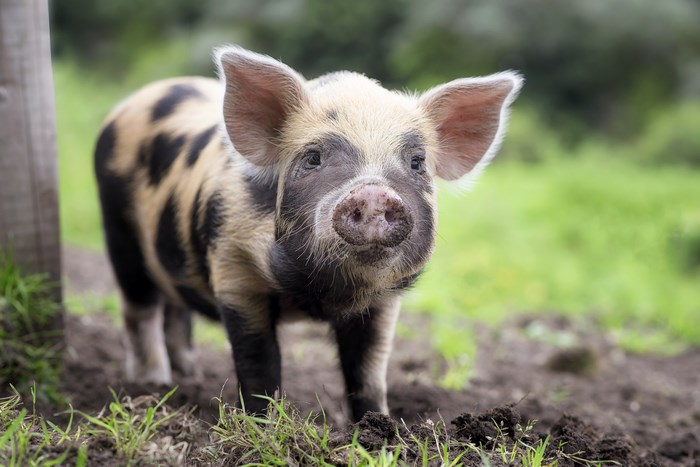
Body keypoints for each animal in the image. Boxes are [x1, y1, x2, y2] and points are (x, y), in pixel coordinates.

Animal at [94, 45, 522, 421]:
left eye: (417, 163)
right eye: (313, 158)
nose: (373, 191)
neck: (320, 294)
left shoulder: (383, 302)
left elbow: (368, 372)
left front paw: (379, 428)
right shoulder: (234, 273)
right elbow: (258, 365)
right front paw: (262, 426)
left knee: (175, 309)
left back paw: (188, 377)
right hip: (119, 232)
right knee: (140, 310)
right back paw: (152, 386)